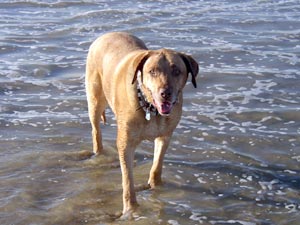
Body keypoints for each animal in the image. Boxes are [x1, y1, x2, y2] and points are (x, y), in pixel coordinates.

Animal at [84, 31, 198, 218]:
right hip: (94, 97)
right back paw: (98, 152)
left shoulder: (165, 135)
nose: (165, 93)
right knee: (95, 130)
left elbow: (157, 165)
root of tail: (106, 34)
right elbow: (128, 181)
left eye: (176, 71)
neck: (151, 108)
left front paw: (155, 186)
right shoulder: (126, 143)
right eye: (152, 71)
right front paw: (130, 209)